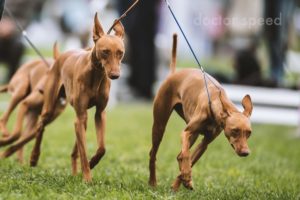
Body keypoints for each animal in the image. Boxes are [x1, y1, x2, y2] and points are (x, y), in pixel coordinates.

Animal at [0, 12, 125, 181]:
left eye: (120, 53)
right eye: (105, 51)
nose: (115, 75)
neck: (96, 74)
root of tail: (60, 56)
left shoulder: (99, 114)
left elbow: (101, 148)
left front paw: (92, 163)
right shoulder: (79, 116)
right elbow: (83, 152)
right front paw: (87, 179)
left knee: (70, 147)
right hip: (48, 107)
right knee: (40, 127)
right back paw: (33, 157)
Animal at [148, 34, 253, 191]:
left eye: (249, 133)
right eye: (235, 130)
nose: (246, 153)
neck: (214, 103)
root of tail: (173, 74)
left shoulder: (205, 143)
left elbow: (190, 160)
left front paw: (184, 180)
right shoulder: (185, 133)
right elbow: (186, 156)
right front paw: (186, 176)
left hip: (195, 134)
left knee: (179, 156)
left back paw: (176, 185)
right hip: (160, 126)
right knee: (155, 153)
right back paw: (153, 182)